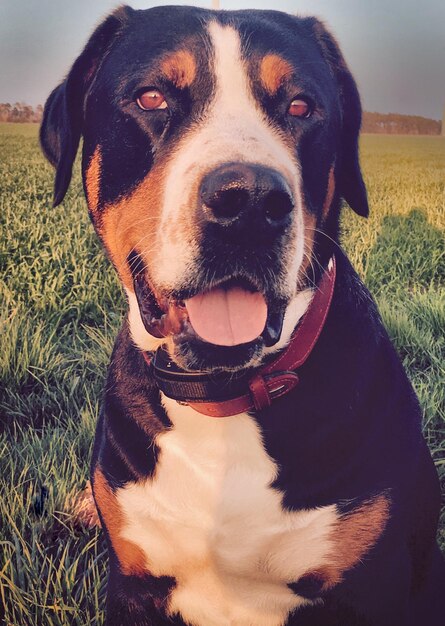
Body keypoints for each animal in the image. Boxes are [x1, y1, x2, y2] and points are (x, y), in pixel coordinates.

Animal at [40, 6, 442, 624]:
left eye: (300, 106)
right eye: (152, 98)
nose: (250, 201)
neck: (222, 398)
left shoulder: (373, 592)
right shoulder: (133, 582)